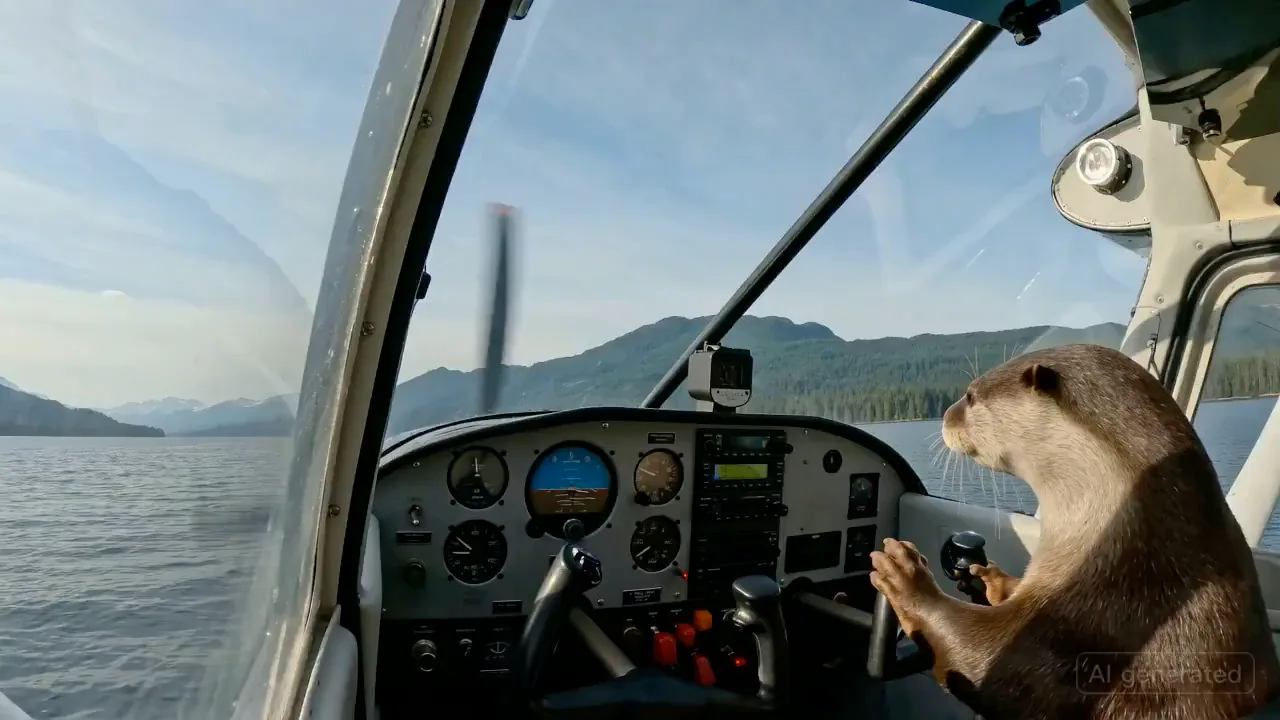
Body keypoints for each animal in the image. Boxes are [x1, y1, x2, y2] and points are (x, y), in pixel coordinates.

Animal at [870, 343, 1280, 719]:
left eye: (971, 395)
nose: (945, 414)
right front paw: (994, 579)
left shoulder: (1095, 624)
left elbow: (983, 658)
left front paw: (905, 574)